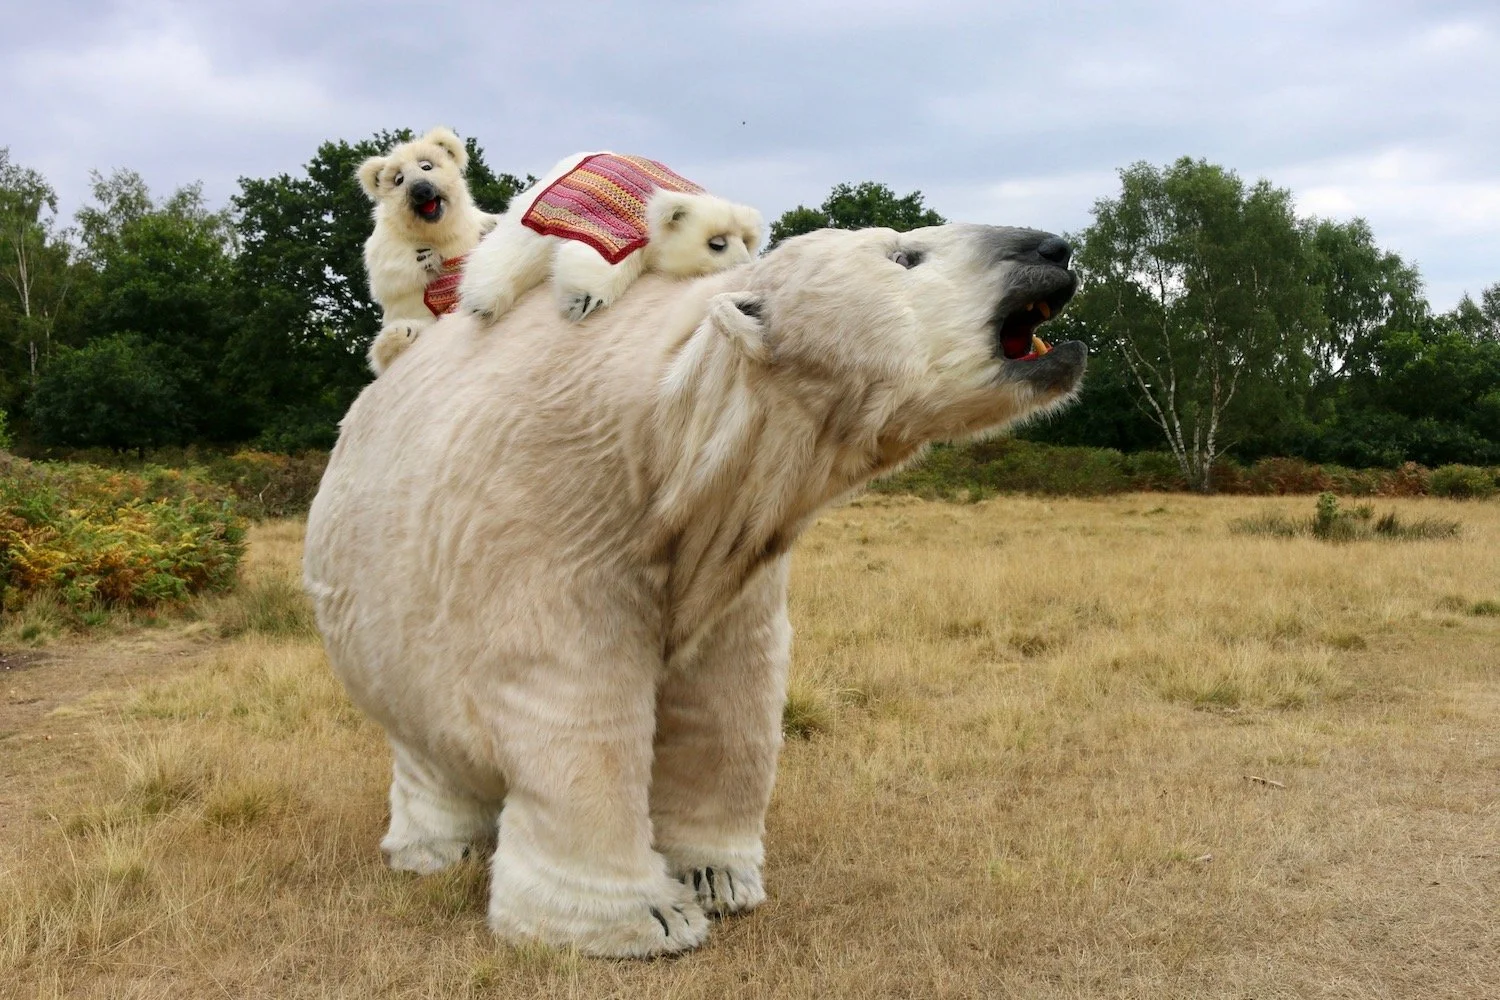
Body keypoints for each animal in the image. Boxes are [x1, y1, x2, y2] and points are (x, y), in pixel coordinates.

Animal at [303, 222, 1085, 958]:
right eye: (906, 256)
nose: (1055, 247)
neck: (670, 433)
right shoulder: (555, 504)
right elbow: (574, 699)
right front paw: (641, 920)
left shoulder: (735, 551)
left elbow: (729, 693)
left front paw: (718, 878)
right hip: (388, 617)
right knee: (427, 739)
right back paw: (435, 848)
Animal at [357, 126, 497, 375]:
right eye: (399, 179)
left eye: (426, 166)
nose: (421, 190)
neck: (436, 231)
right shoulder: (386, 240)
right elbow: (385, 272)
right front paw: (425, 257)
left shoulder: (469, 225)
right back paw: (399, 335)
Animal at [455, 151, 763, 325]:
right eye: (717, 244)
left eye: (747, 241)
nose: (744, 266)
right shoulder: (617, 225)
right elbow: (601, 257)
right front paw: (581, 301)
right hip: (545, 202)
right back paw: (481, 302)